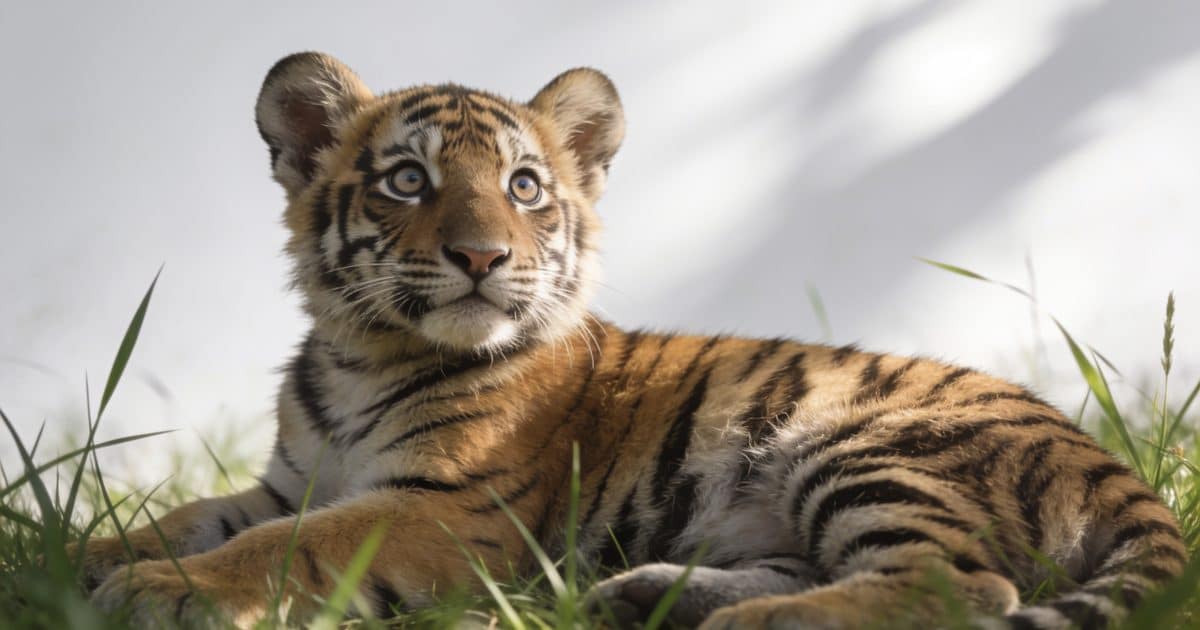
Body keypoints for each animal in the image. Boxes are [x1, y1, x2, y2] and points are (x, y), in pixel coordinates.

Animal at [76, 51, 1187, 629]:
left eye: (524, 187)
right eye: (408, 181)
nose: (482, 255)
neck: (362, 351)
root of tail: (1102, 455)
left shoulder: (450, 508)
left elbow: (287, 547)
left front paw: (164, 592)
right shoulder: (290, 479)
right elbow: (195, 516)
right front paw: (78, 554)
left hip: (859, 443)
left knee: (962, 585)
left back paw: (740, 622)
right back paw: (652, 596)